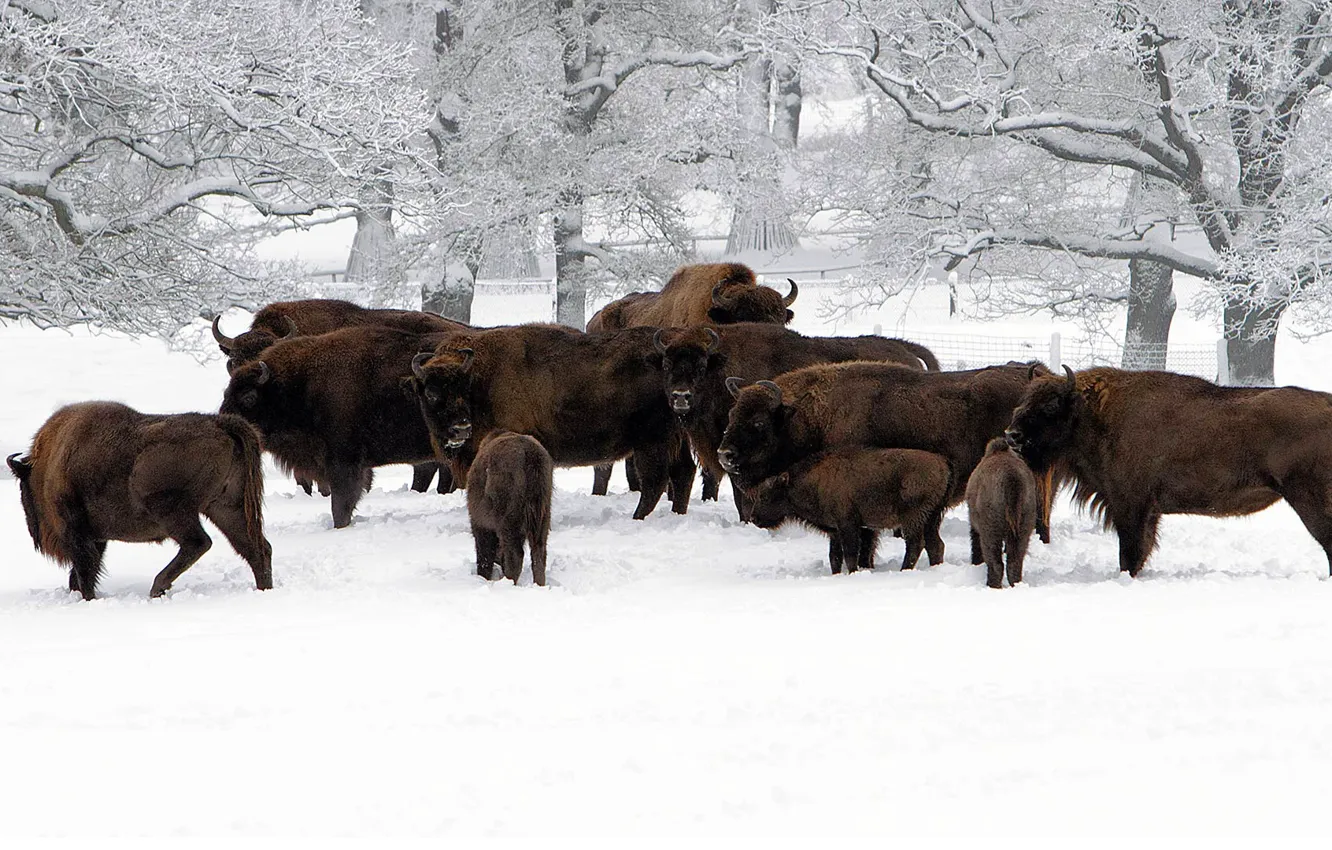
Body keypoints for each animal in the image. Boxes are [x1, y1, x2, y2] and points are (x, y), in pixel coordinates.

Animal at [7, 402, 272, 599]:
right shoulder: (96, 537)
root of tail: (220, 423)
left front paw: (87, 598)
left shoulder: (77, 531)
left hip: (172, 511)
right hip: (225, 507)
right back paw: (264, 589)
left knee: (199, 543)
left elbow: (84, 569)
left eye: (23, 487)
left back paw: (157, 587)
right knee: (256, 548)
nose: (34, 534)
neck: (48, 464)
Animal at [220, 325, 456, 528]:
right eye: (226, 393)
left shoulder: (344, 464)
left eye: (248, 396)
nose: (224, 423)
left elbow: (340, 505)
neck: (299, 385)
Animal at [408, 324, 695, 520]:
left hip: (652, 443)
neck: (481, 380)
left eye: (462, 389)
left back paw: (637, 517)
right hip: (674, 439)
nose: (461, 429)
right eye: (431, 393)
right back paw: (676, 514)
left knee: (656, 481)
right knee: (683, 473)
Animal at [1005, 366, 1332, 577]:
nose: (1012, 435)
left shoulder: (1131, 505)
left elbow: (1130, 553)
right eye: (1024, 400)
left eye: (1051, 405)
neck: (1095, 413)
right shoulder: (1146, 510)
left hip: (1309, 501)